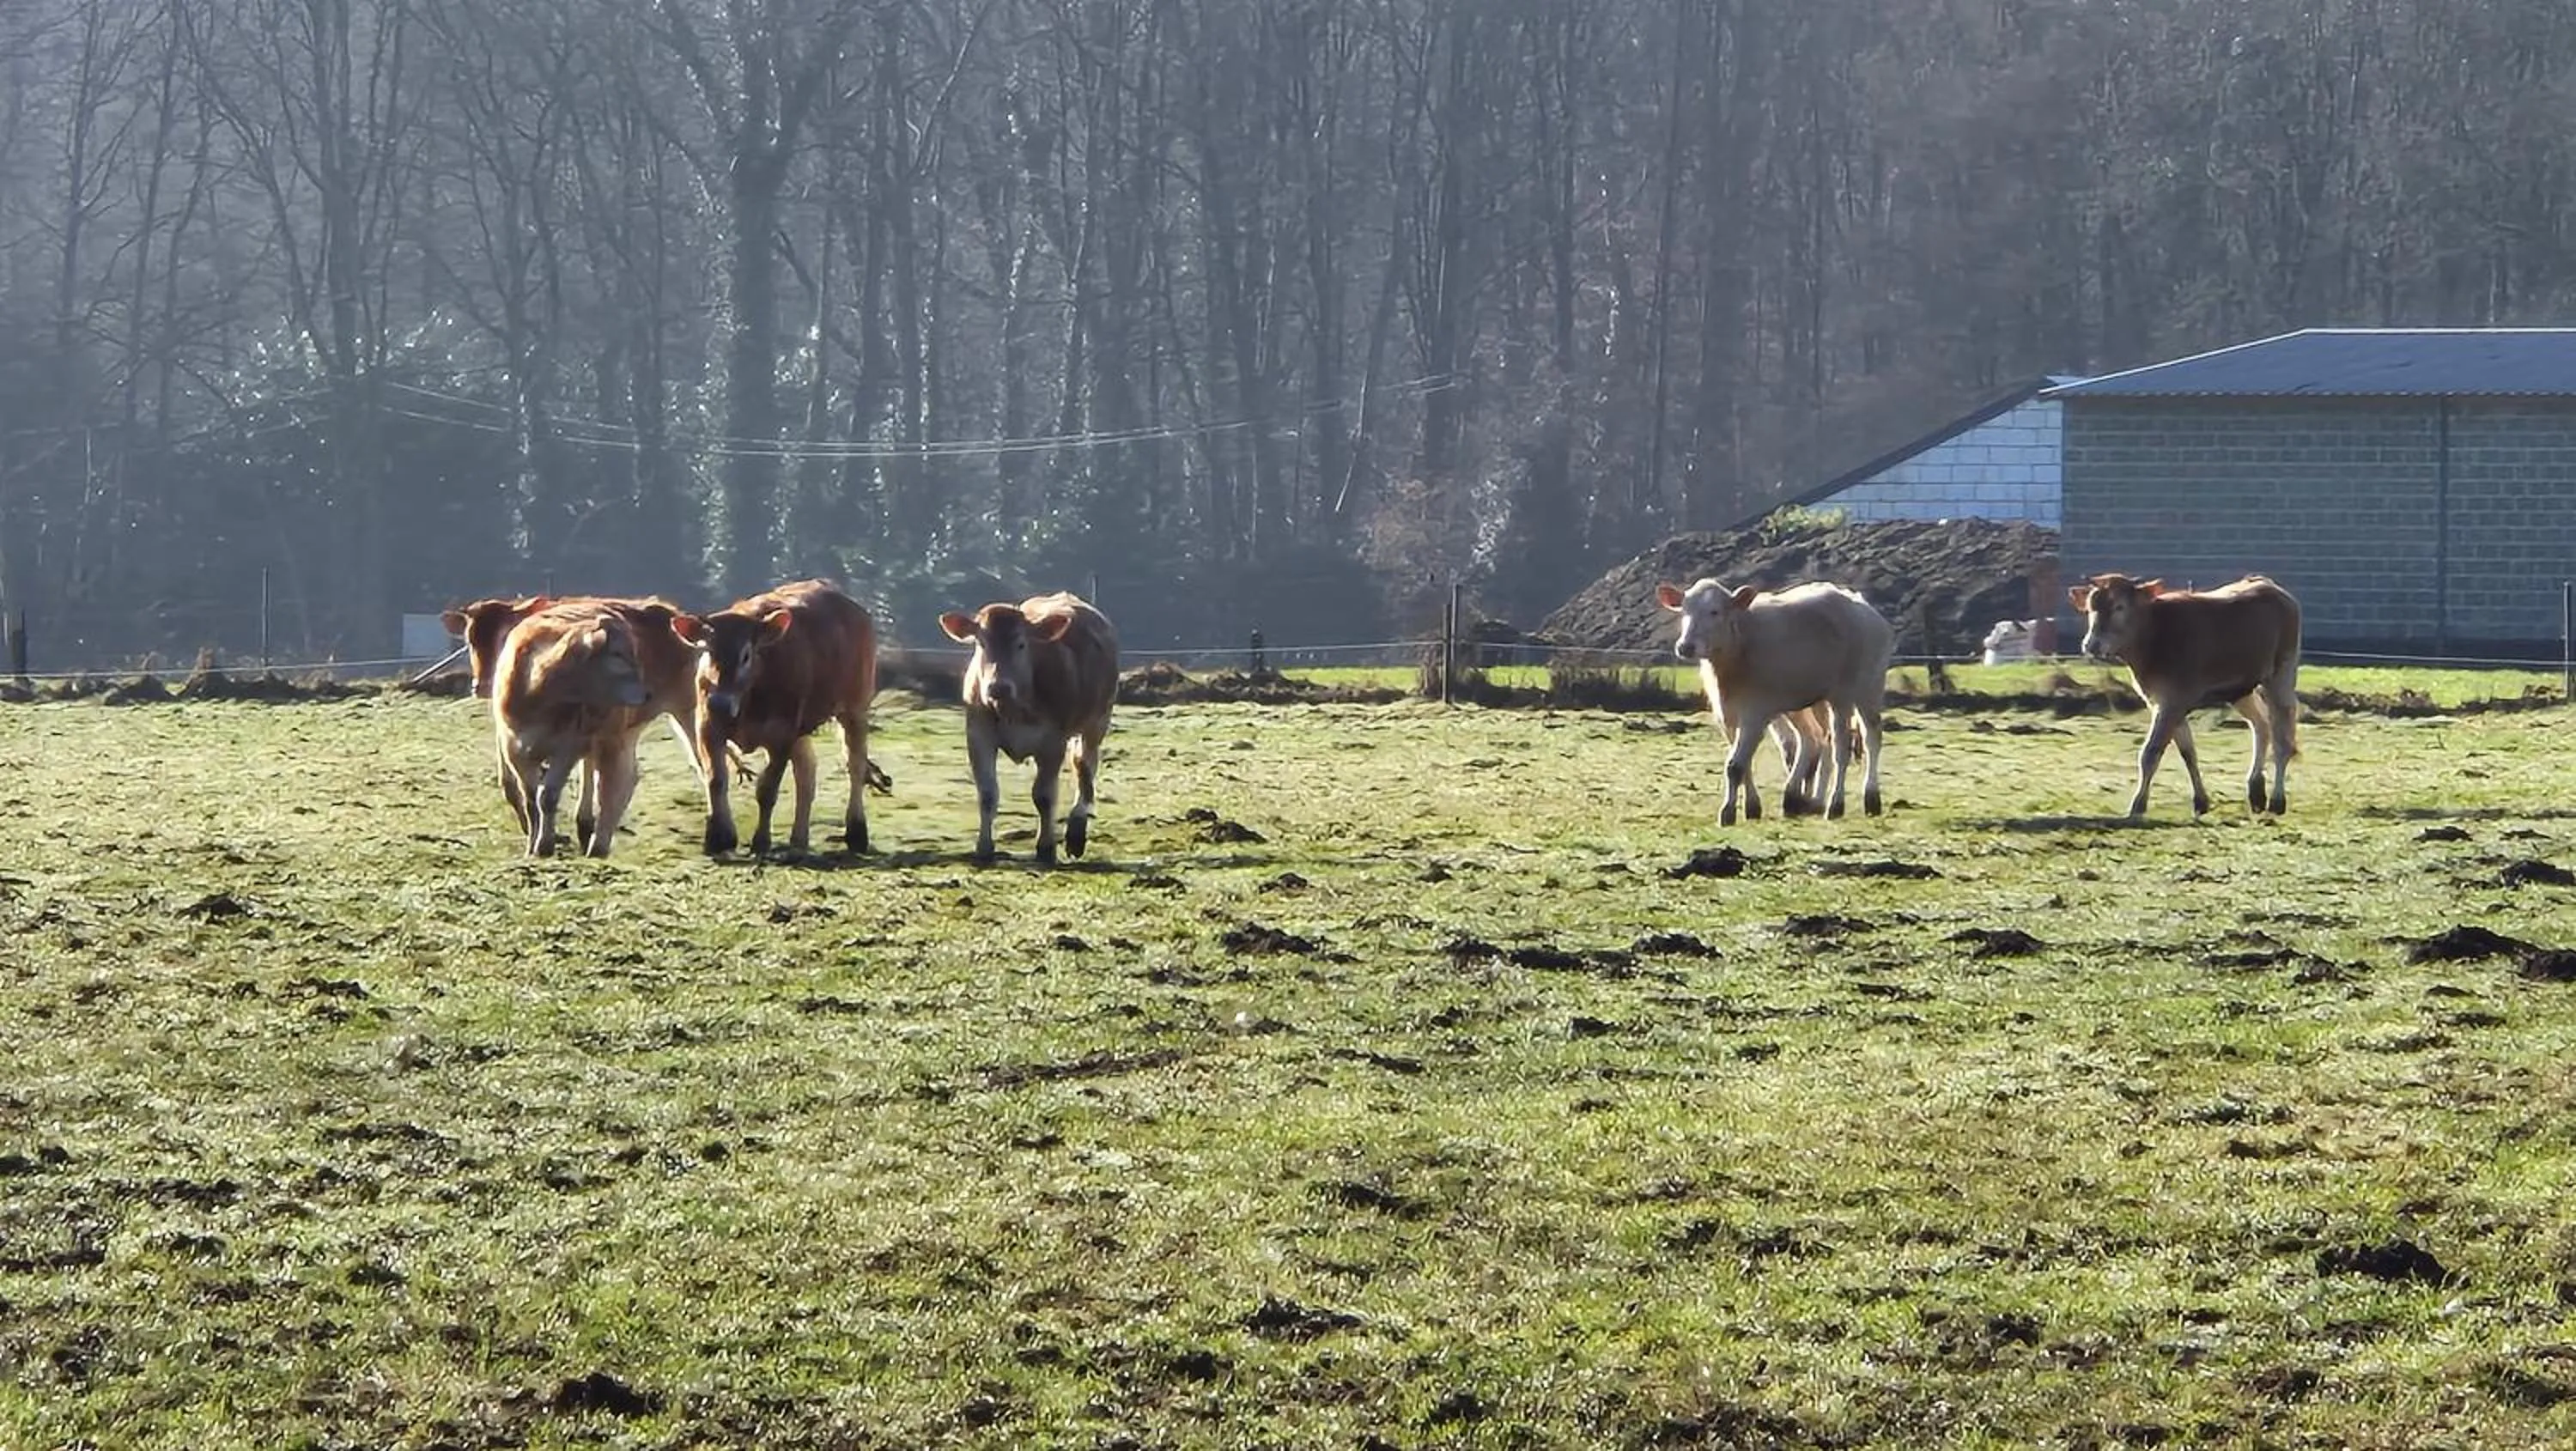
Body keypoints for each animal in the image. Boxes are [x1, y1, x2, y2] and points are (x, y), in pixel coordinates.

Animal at [486, 601, 654, 857]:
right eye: (617, 654)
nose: (647, 695)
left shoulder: (567, 747)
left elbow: (547, 797)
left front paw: (544, 845)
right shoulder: (513, 748)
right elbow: (530, 799)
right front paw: (532, 846)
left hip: (614, 735)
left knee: (617, 782)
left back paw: (598, 844)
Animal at [669, 579, 879, 857]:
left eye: (746, 655)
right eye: (707, 650)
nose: (720, 703)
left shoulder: (781, 735)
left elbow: (767, 789)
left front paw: (761, 841)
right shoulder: (708, 726)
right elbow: (716, 779)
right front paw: (718, 838)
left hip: (854, 707)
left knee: (855, 765)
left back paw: (856, 832)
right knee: (806, 772)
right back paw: (799, 839)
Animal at [936, 592, 1121, 864]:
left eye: (1021, 644)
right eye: (981, 643)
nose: (998, 687)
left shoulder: (1053, 741)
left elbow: (1043, 796)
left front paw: (1046, 848)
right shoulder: (978, 735)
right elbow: (987, 794)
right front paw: (984, 847)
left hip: (1097, 720)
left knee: (1085, 766)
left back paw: (1077, 831)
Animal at [1657, 579, 1895, 825]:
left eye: (1715, 612)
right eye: (1684, 610)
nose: (1685, 646)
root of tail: (1862, 605)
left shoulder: (1755, 714)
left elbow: (1735, 765)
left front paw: (1728, 812)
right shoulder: (1727, 716)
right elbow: (1744, 763)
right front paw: (1752, 807)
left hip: (1859, 690)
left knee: (1858, 742)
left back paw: (1854, 802)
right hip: (1812, 701)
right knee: (1815, 739)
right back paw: (1799, 799)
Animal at [2067, 573, 2301, 818]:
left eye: (2119, 606)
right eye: (2090, 607)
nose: (2091, 644)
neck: (2154, 637)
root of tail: (2268, 584)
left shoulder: (2172, 703)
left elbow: (2151, 752)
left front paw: (2138, 805)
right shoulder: (2163, 701)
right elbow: (2188, 752)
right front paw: (2201, 801)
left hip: (2282, 672)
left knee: (2282, 738)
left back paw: (2277, 800)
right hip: (2240, 689)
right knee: (2261, 725)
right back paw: (2256, 791)